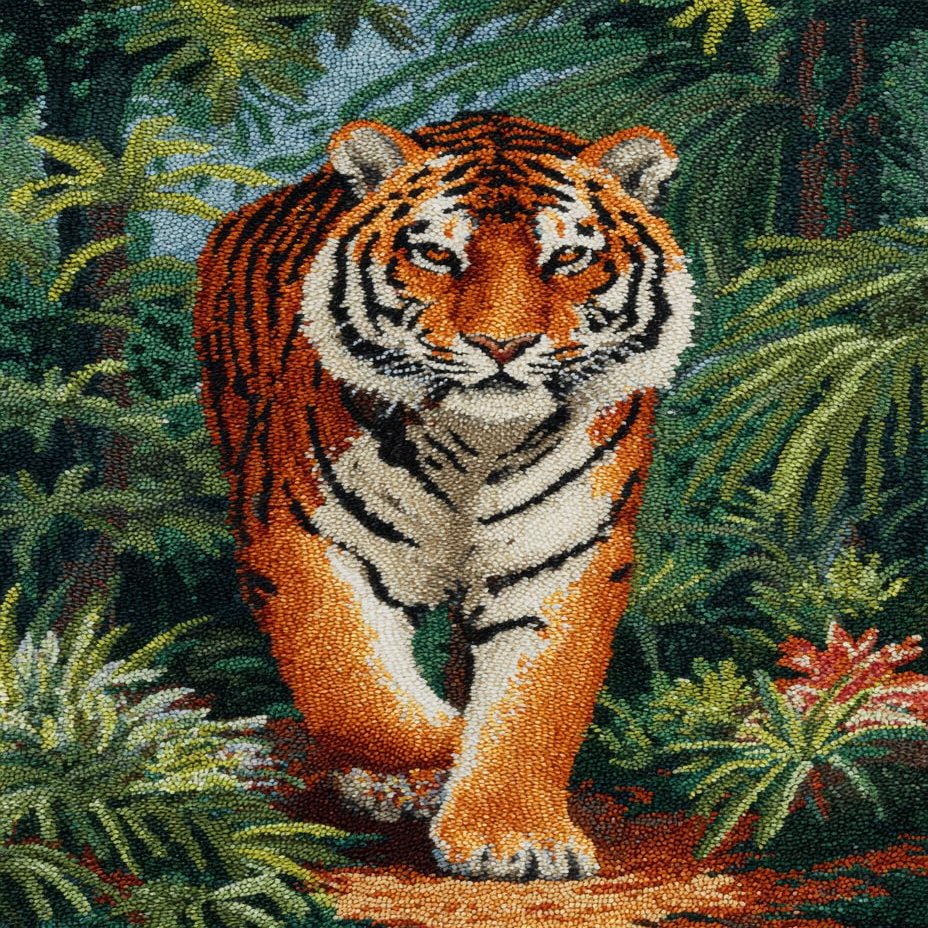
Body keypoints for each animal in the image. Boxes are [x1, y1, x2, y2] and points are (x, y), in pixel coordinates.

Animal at [194, 112, 695, 882]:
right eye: (436, 254)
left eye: (567, 257)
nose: (502, 345)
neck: (479, 444)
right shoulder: (304, 539)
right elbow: (359, 695)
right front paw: (439, 754)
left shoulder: (561, 557)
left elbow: (534, 699)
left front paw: (513, 834)